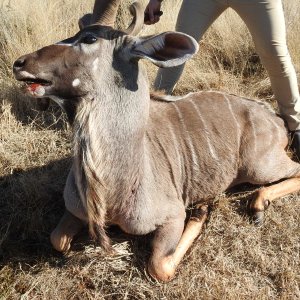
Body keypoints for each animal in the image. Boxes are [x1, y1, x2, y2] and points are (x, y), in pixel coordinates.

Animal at [12, 0, 300, 282]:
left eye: (90, 38)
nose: (19, 63)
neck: (114, 190)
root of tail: (276, 119)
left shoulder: (172, 217)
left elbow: (159, 266)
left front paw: (201, 212)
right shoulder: (74, 210)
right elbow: (58, 240)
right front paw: (203, 207)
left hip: (258, 167)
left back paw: (257, 205)